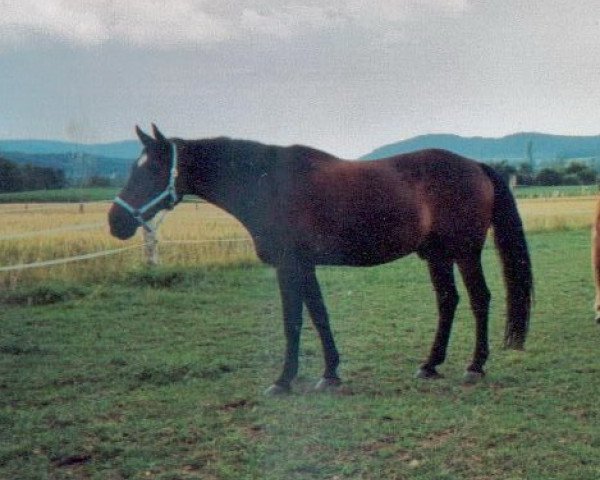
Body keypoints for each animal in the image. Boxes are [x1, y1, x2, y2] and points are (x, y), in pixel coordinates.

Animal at [109, 124, 536, 394]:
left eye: (154, 169)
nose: (115, 221)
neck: (268, 183)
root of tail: (476, 166)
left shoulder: (288, 265)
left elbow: (293, 321)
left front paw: (283, 380)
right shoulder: (304, 266)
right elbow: (318, 315)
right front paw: (330, 373)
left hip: (465, 252)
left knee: (480, 300)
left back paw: (474, 366)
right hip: (436, 255)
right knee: (448, 301)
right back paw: (430, 365)